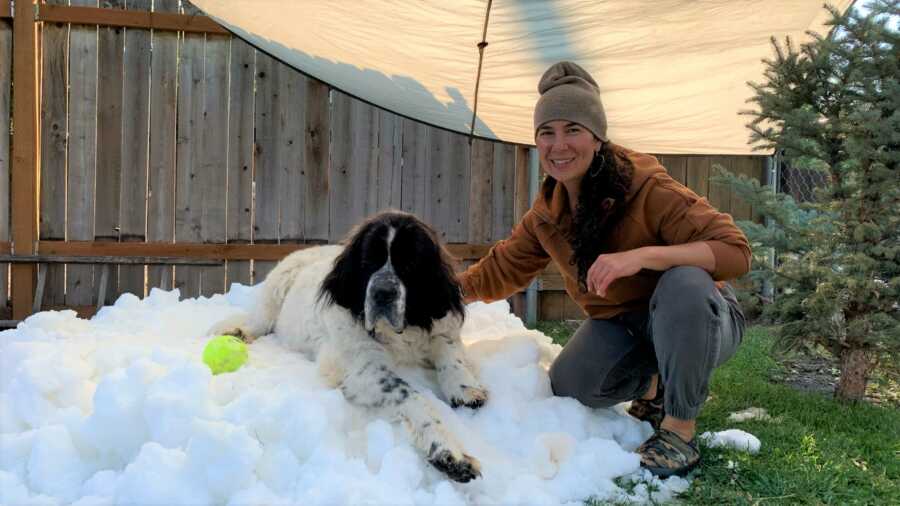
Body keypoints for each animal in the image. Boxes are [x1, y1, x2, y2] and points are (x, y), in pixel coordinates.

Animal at [212, 210, 488, 482]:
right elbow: (411, 394)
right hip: (277, 287)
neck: (399, 333)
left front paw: (465, 387)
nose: (382, 293)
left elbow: (450, 352)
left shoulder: (439, 326)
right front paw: (450, 454)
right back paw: (237, 332)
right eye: (368, 262)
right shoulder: (361, 367)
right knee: (260, 320)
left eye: (409, 264)